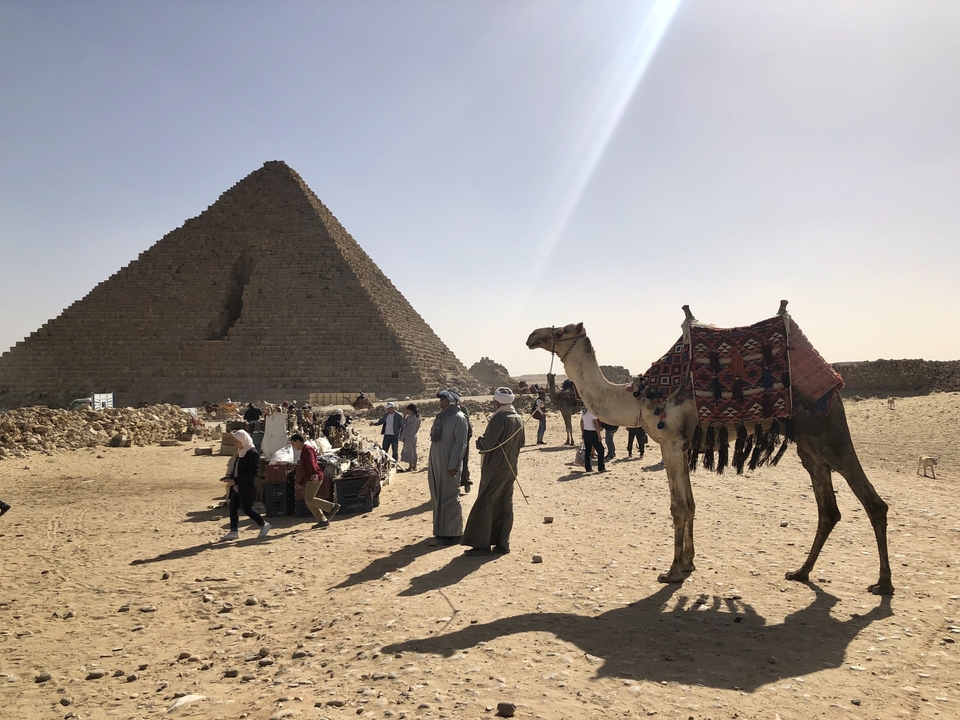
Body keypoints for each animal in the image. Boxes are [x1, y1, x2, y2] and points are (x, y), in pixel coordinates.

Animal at [527, 307, 894, 596]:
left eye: (558, 331)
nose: (532, 335)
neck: (637, 397)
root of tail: (834, 382)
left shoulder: (672, 442)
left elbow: (678, 507)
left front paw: (672, 571)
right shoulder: (682, 444)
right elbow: (690, 504)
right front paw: (688, 564)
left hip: (828, 429)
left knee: (872, 501)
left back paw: (883, 584)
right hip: (807, 442)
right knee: (828, 508)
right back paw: (801, 572)